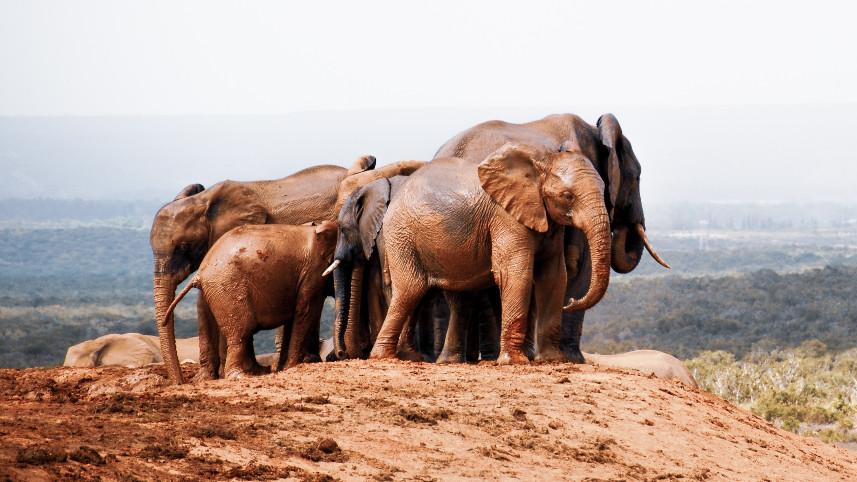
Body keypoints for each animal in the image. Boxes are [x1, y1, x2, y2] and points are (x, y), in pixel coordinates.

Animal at [162, 221, 338, 379]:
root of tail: (200, 273)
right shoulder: (313, 272)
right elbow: (306, 311)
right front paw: (292, 366)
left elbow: (295, 317)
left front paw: (284, 367)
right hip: (227, 286)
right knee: (242, 329)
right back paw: (241, 376)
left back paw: (257, 371)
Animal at [369, 142, 613, 365]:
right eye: (567, 196)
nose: (570, 301)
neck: (540, 161)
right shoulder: (506, 217)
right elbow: (515, 274)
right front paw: (515, 362)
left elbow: (554, 277)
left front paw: (553, 360)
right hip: (401, 235)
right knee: (411, 288)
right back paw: (384, 357)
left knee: (433, 296)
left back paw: (415, 358)